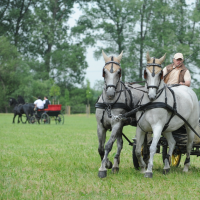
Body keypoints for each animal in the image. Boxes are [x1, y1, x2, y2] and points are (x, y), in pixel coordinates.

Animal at [95, 50, 144, 178]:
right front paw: (108, 163)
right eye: (104, 71)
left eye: (119, 72)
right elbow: (101, 148)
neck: (109, 103)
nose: (110, 92)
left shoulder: (116, 124)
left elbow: (108, 145)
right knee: (120, 143)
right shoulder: (100, 126)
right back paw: (116, 166)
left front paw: (103, 168)